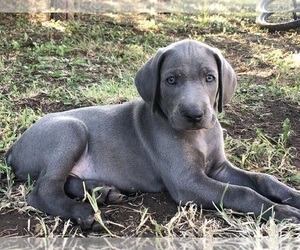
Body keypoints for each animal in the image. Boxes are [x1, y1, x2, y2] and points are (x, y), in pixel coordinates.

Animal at [4, 40, 300, 229]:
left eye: (210, 78)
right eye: (170, 80)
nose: (194, 114)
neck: (199, 135)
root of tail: (12, 148)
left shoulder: (219, 167)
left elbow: (262, 179)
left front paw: (292, 196)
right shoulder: (187, 182)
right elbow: (242, 192)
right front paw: (284, 212)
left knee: (65, 181)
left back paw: (103, 191)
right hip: (70, 130)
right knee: (44, 190)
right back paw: (87, 213)